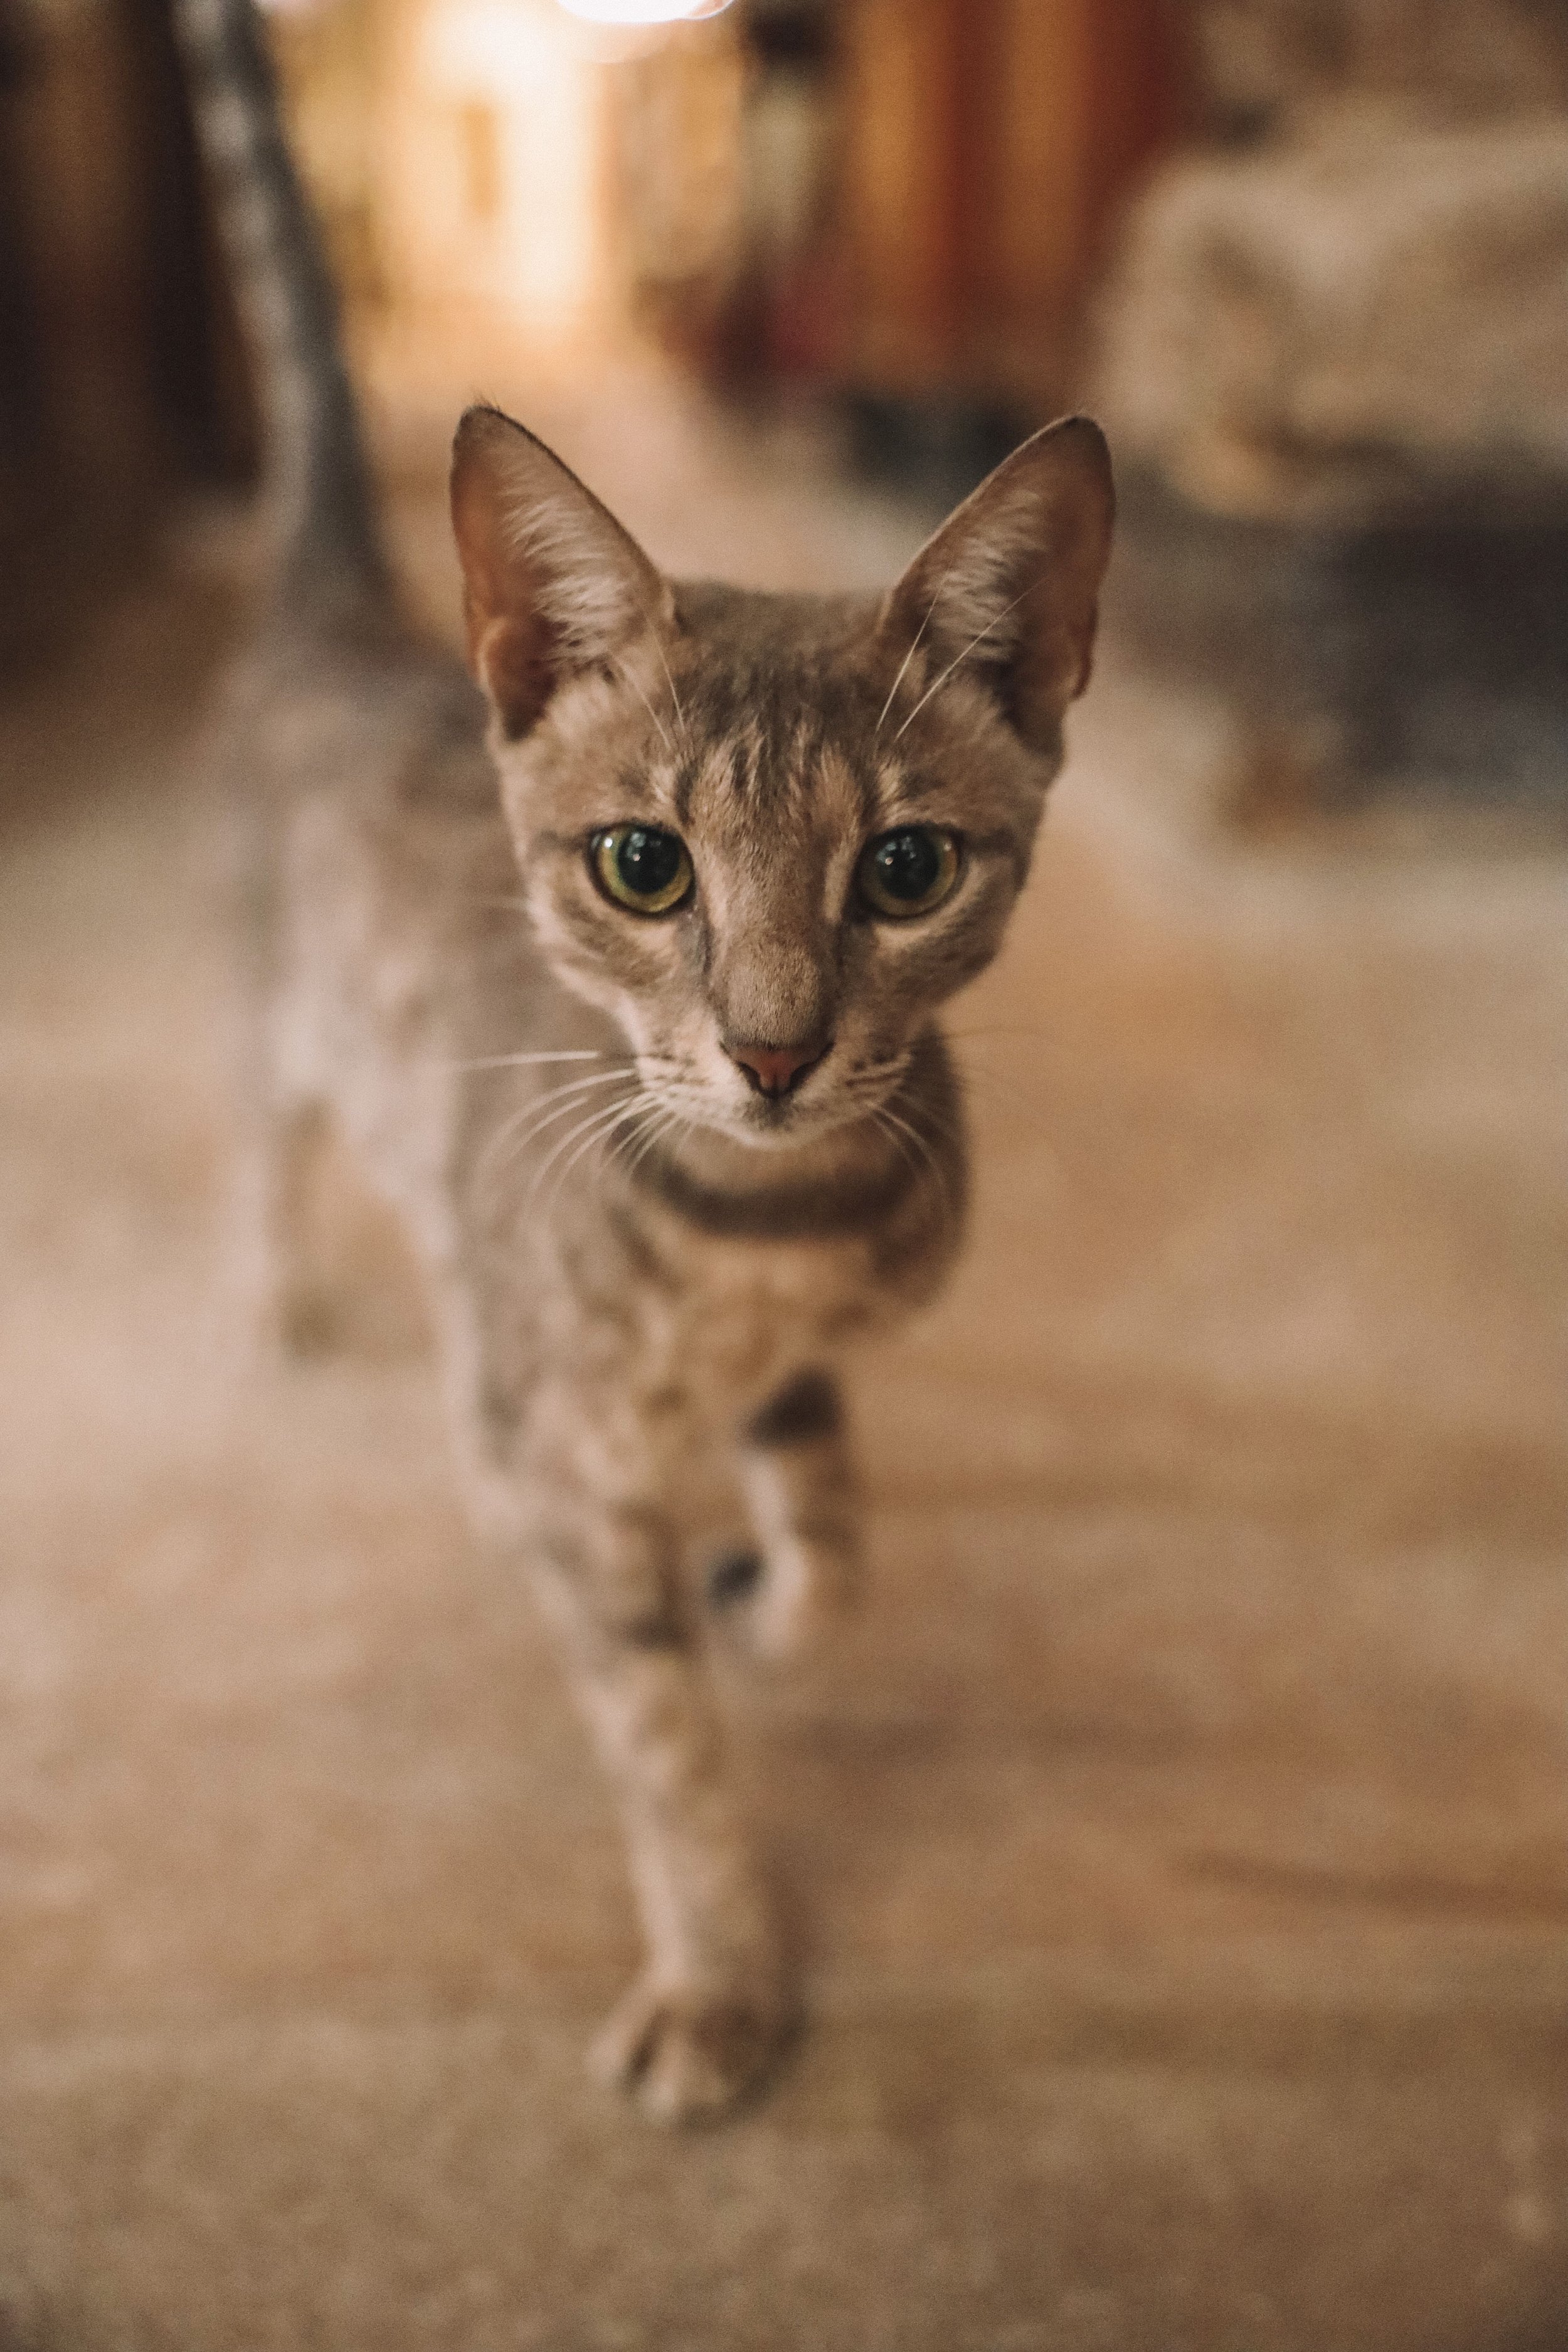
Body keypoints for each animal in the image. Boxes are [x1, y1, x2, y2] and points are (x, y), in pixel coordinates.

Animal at [177, 0, 1114, 2126]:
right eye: (642, 864)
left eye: (905, 867)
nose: (770, 1047)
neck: (756, 1233)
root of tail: (340, 620)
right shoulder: (566, 1462)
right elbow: (662, 1736)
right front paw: (719, 1973)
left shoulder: (803, 1355)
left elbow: (834, 1530)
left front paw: (773, 1596)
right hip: (275, 1021)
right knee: (267, 1145)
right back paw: (278, 1291)